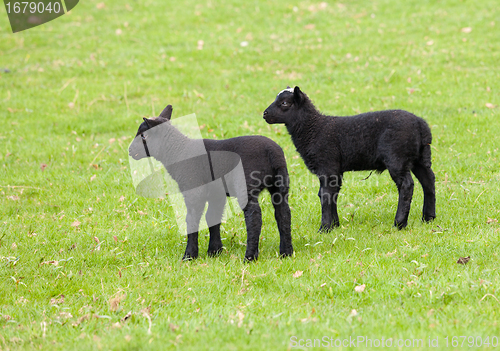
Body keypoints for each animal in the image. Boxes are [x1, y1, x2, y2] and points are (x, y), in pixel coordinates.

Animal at [130, 104, 292, 262]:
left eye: (144, 135)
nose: (130, 150)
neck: (178, 152)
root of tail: (272, 153)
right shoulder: (216, 194)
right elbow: (212, 217)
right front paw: (214, 251)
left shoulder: (194, 190)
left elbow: (192, 219)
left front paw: (189, 255)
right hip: (280, 185)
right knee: (283, 214)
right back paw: (286, 252)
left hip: (246, 184)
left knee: (254, 217)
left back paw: (250, 257)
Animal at [264, 86, 436, 231]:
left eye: (284, 103)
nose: (264, 114)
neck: (313, 129)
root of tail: (421, 125)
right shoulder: (334, 170)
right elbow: (330, 194)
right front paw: (335, 225)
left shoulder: (327, 165)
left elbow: (325, 195)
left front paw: (324, 228)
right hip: (418, 159)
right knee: (428, 181)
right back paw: (428, 218)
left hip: (397, 158)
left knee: (406, 185)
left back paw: (399, 223)